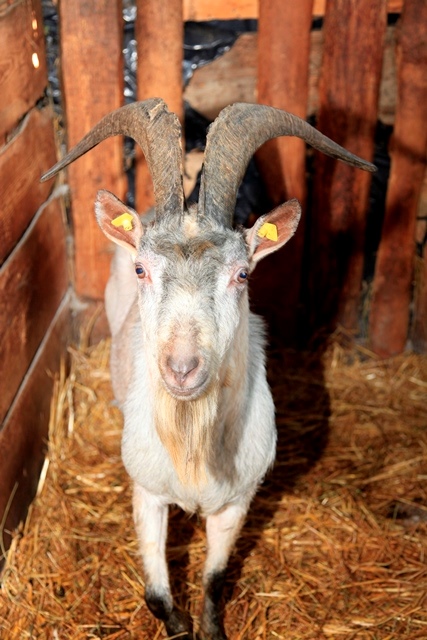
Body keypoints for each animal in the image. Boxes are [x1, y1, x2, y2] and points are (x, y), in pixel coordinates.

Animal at [42, 99, 376, 639]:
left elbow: (215, 579)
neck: (192, 446)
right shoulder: (147, 492)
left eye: (242, 275)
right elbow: (156, 594)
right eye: (142, 269)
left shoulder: (239, 500)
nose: (182, 368)